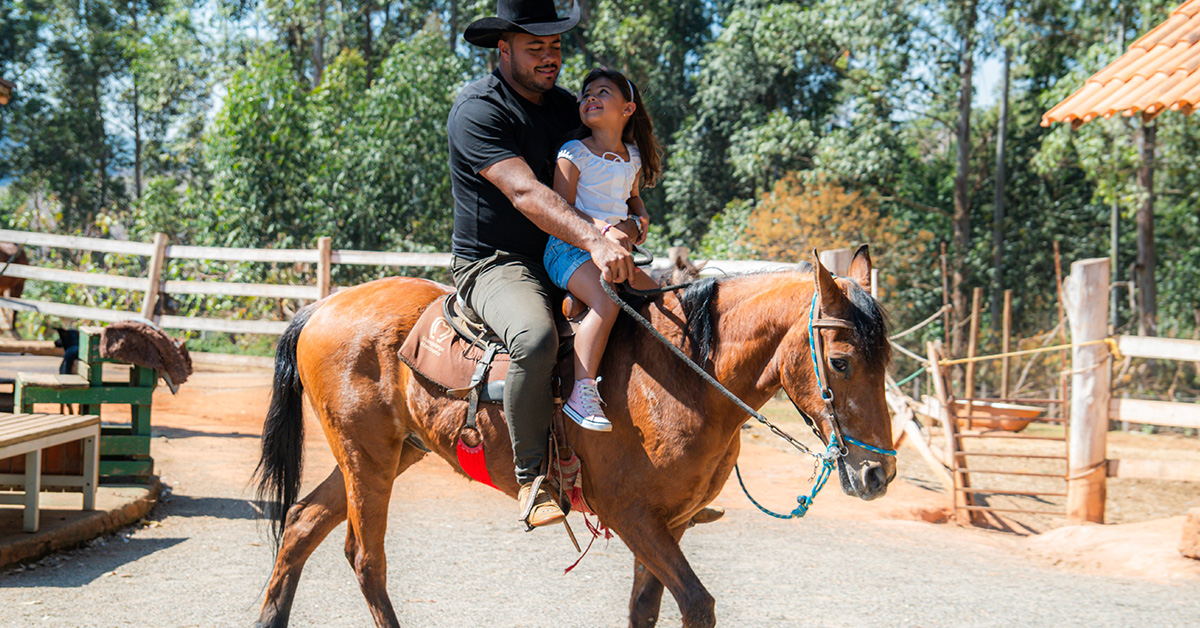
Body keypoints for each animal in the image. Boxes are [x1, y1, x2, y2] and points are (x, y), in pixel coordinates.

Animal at [250, 244, 892, 628]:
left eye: (885, 360)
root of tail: (322, 307)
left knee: (302, 524)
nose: (877, 473)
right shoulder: (633, 516)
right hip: (367, 457)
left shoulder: (671, 523)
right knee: (366, 558)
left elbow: (645, 609)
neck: (682, 375)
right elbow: (696, 604)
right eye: (840, 361)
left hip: (385, 453)